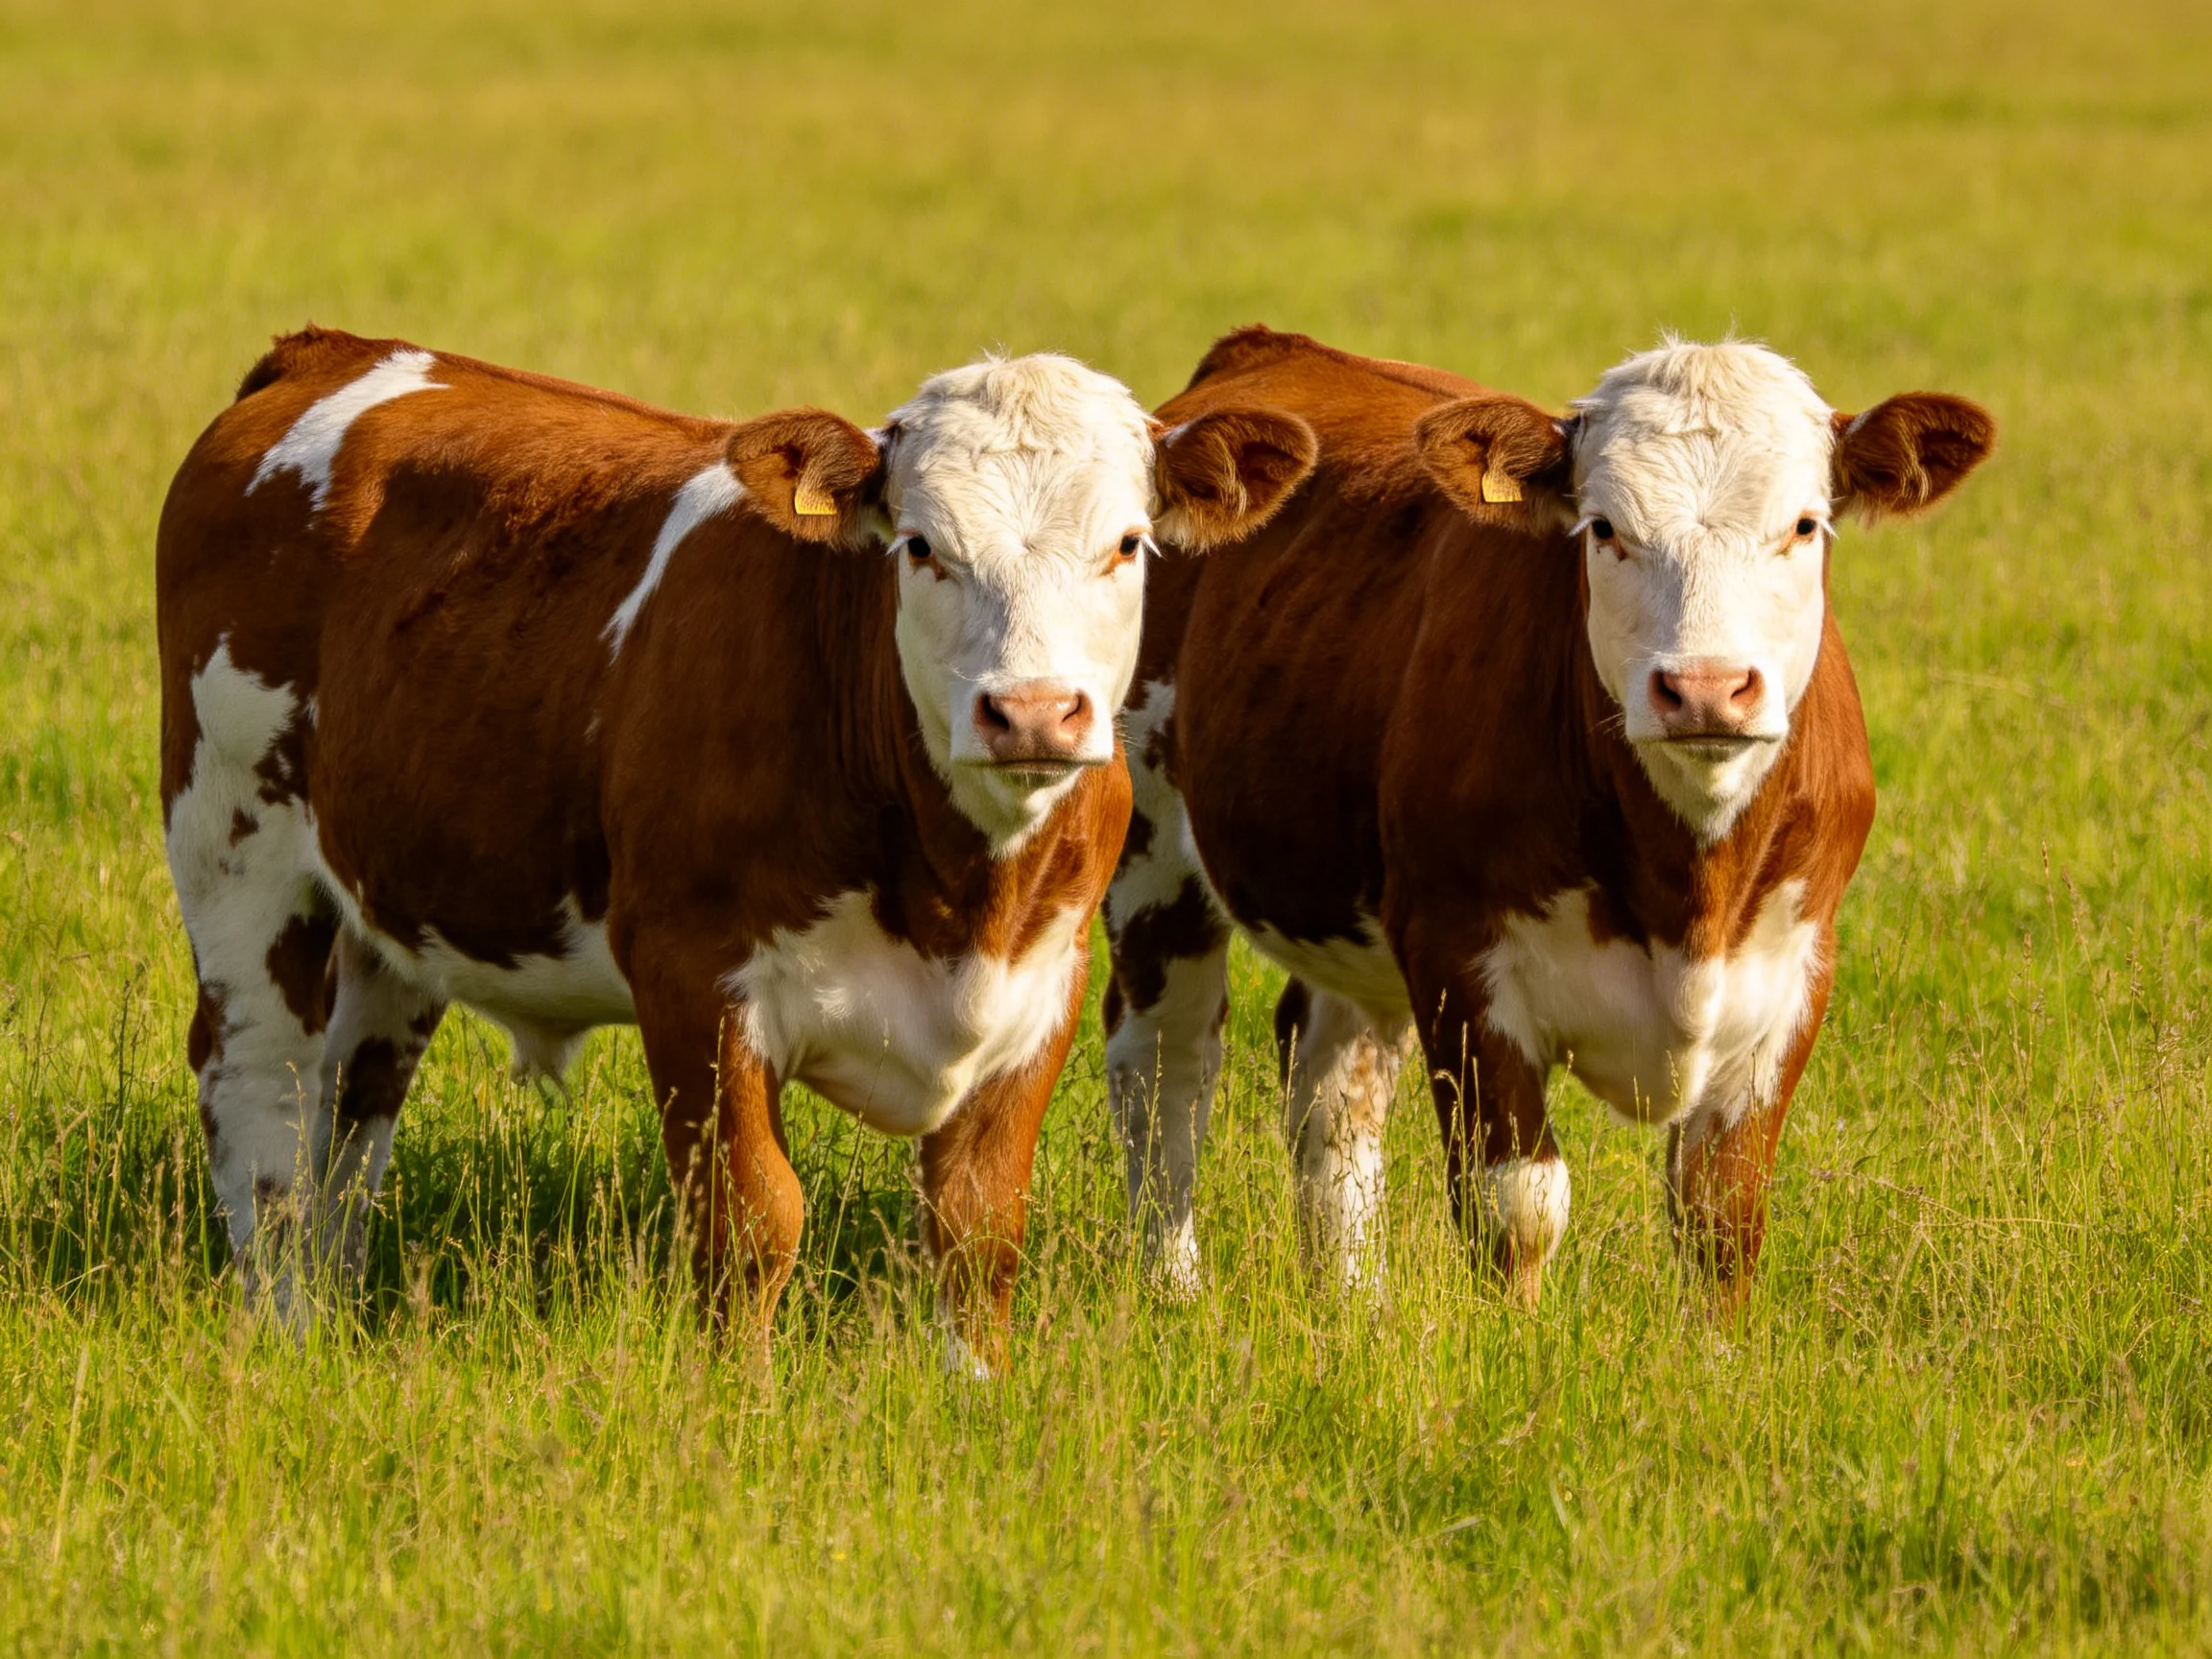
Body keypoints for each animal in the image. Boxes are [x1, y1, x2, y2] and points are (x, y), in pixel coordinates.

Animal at [157, 326, 1316, 1369]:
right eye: (921, 546)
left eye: (1127, 544)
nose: (1031, 712)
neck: (956, 894)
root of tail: (328, 350)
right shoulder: (692, 975)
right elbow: (753, 1219)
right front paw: (742, 1401)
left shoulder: (1045, 981)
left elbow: (977, 1225)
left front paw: (977, 1390)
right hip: (237, 845)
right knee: (260, 1089)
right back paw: (287, 1331)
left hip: (384, 903)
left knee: (353, 1105)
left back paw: (333, 1298)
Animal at [1103, 326, 1992, 1310]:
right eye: (1603, 529)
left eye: (1804, 526)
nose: (1706, 688)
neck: (1688, 880)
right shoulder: (1459, 958)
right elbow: (1518, 1206)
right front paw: (1515, 1335)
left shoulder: (1795, 968)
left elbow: (1721, 1212)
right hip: (1155, 862)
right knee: (1165, 1068)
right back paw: (1171, 1289)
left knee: (1330, 1084)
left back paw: (1354, 1302)